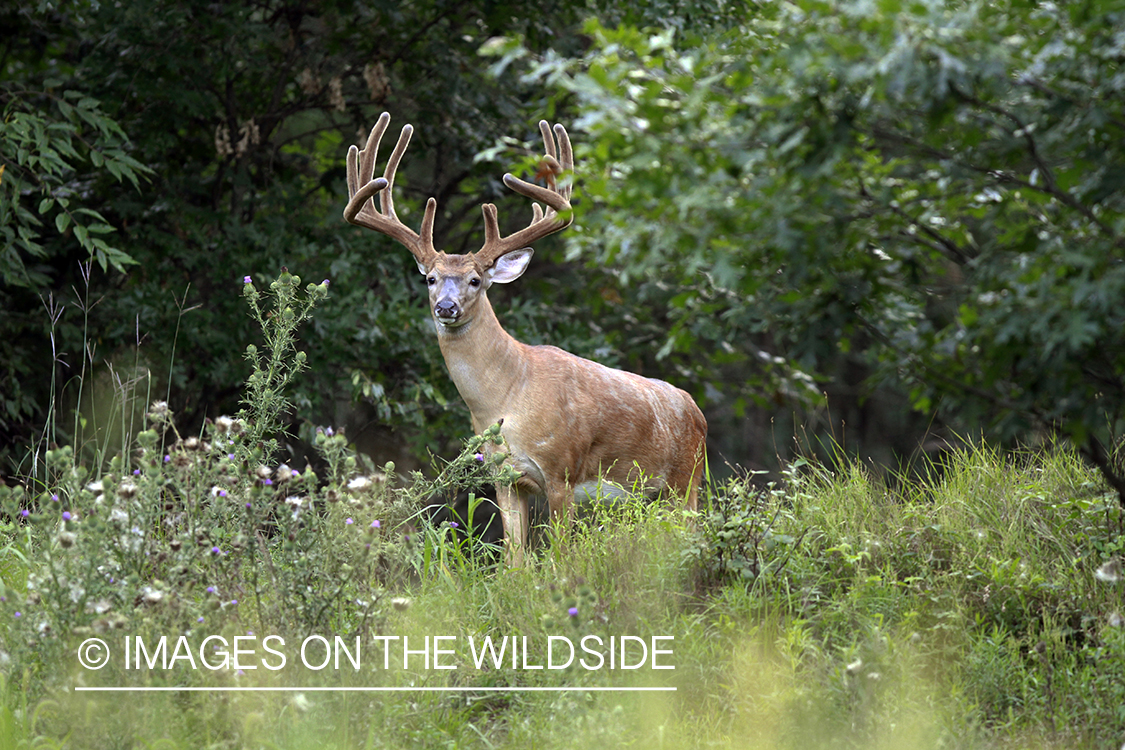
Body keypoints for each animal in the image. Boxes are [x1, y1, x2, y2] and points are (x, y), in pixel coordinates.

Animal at [342, 113, 702, 562]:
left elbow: (559, 557)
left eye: (475, 280)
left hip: (687, 481)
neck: (506, 398)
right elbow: (515, 561)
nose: (447, 307)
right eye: (431, 278)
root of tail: (696, 411)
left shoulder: (562, 471)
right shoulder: (504, 477)